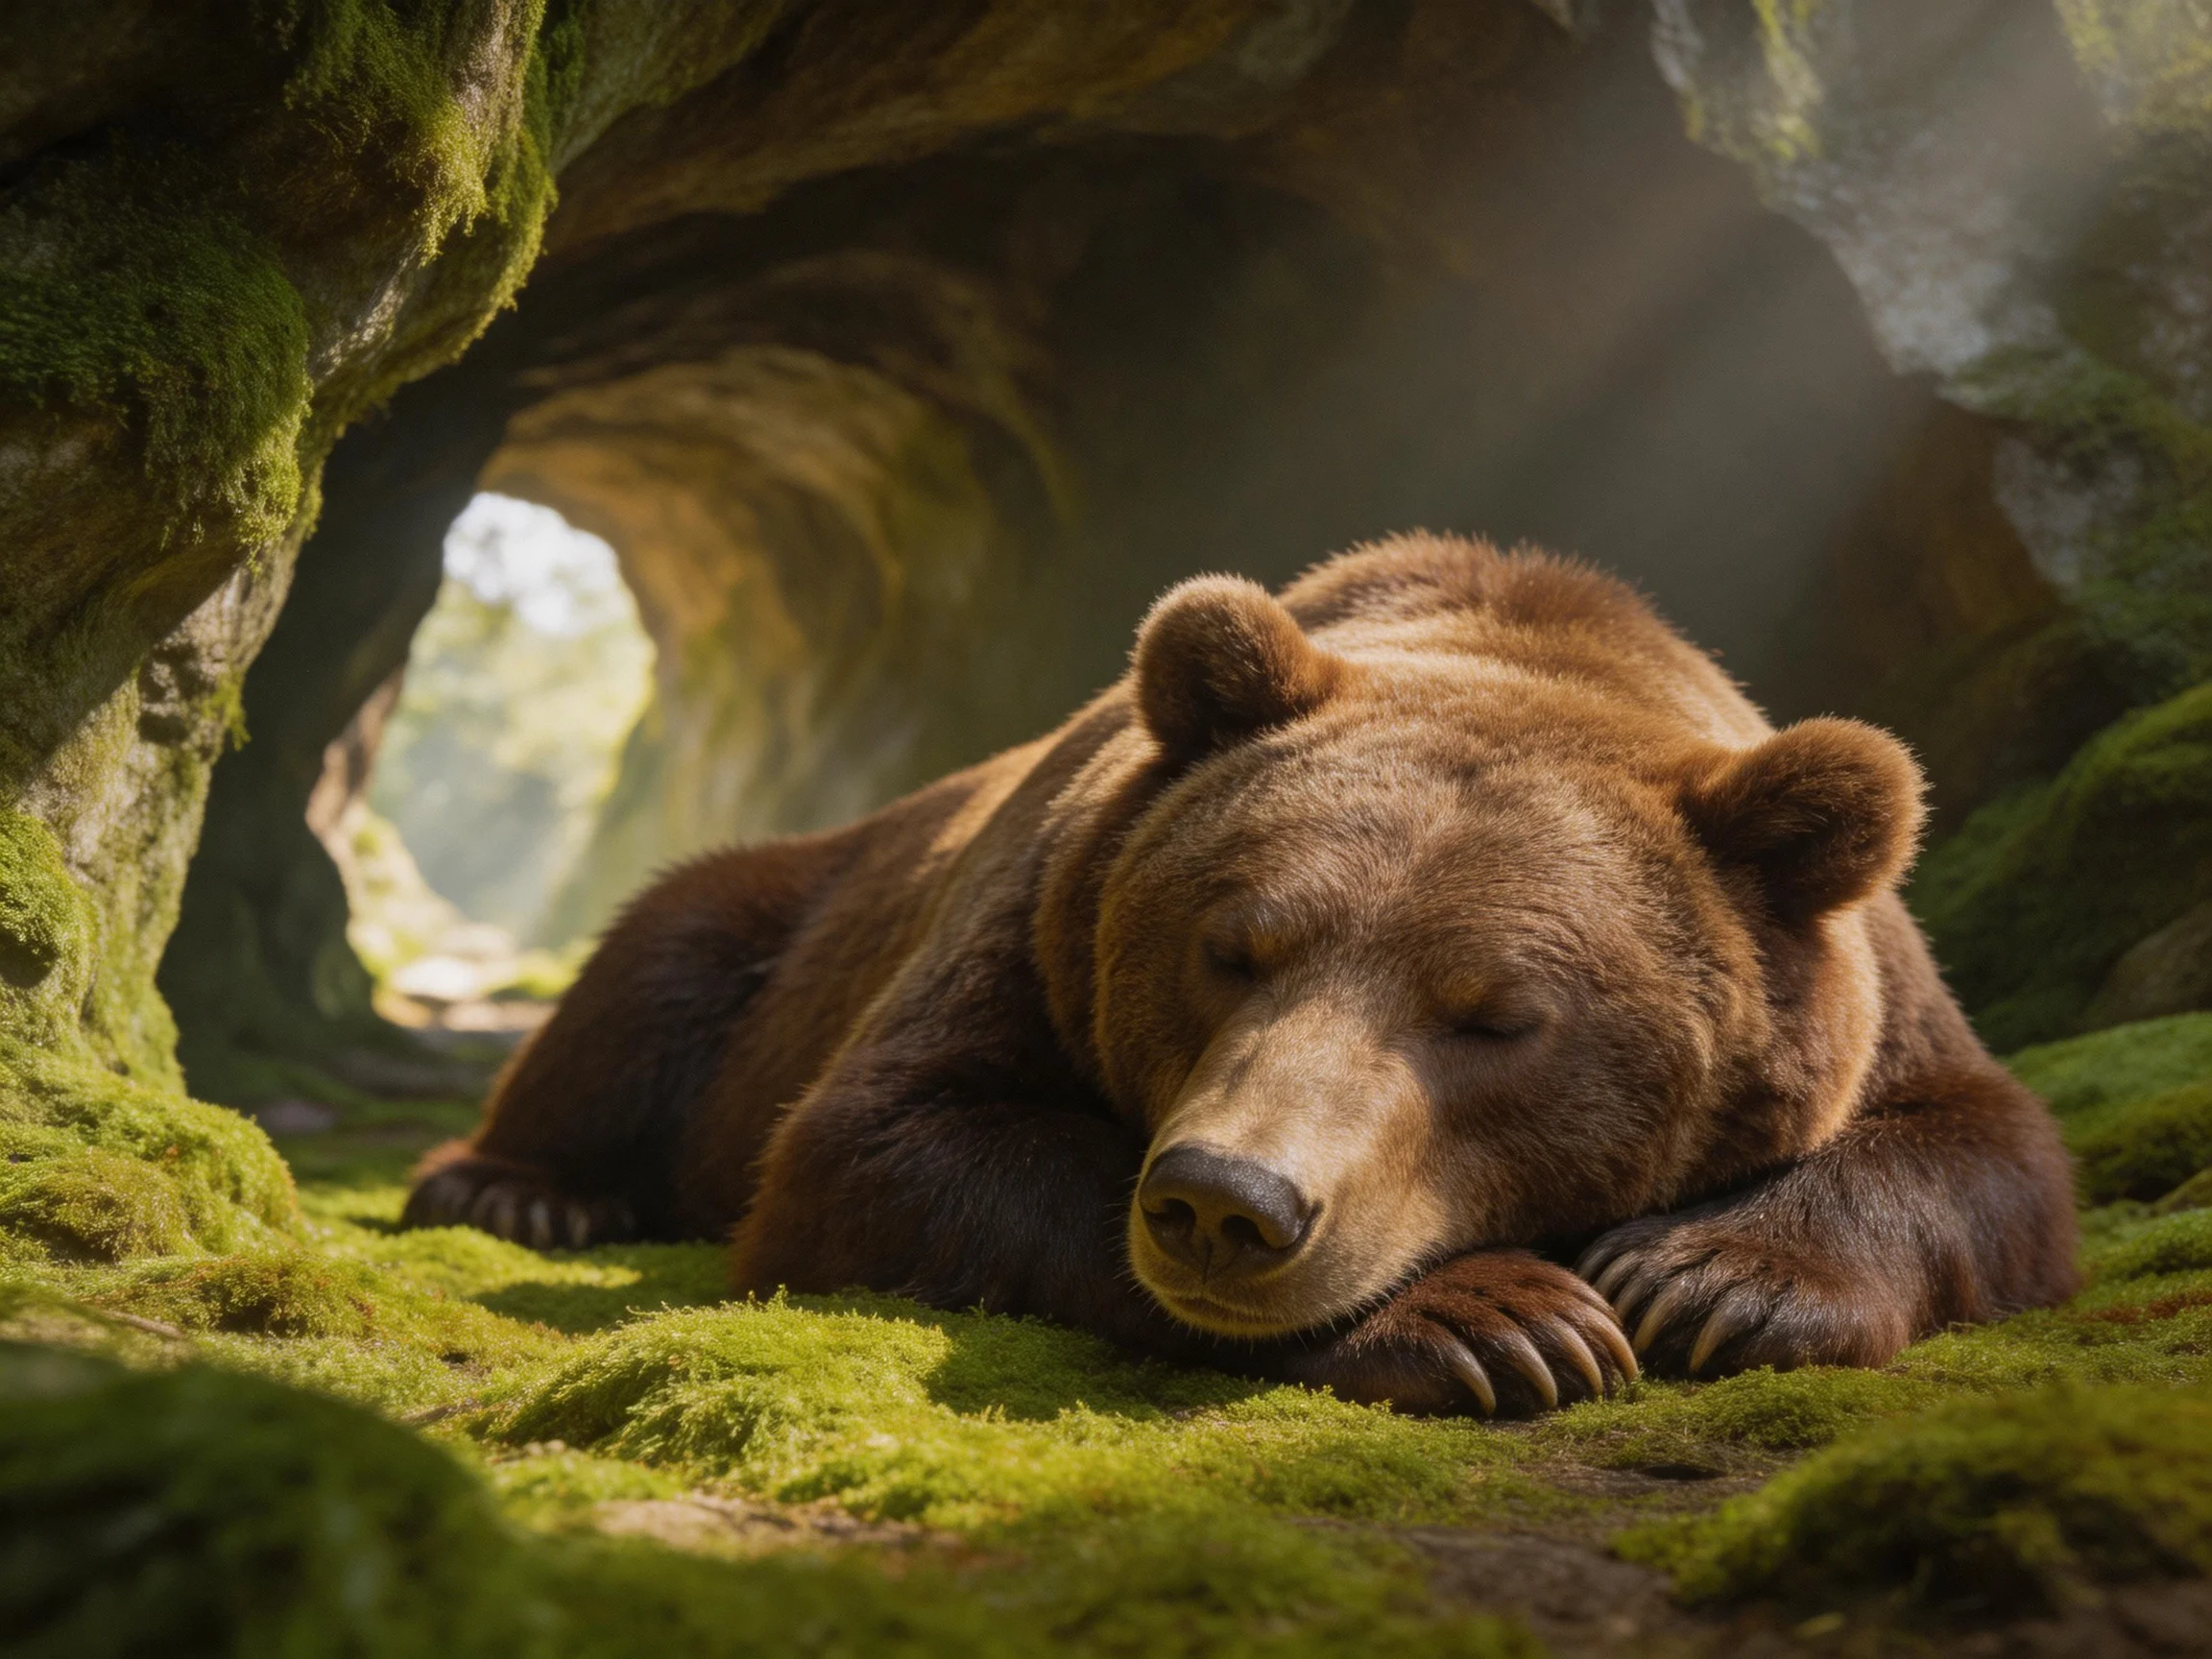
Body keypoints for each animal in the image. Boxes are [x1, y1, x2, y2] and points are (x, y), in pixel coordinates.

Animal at [403, 533, 2079, 1416]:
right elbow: (883, 1141)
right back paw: (520, 1188)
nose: (1229, 1202)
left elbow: (1984, 1148)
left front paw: (1714, 1281)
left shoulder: (1883, 1004)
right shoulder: (1023, 929)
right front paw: (1498, 1320)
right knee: (657, 960)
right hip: (791, 909)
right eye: (1234, 946)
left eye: (1497, 1016)